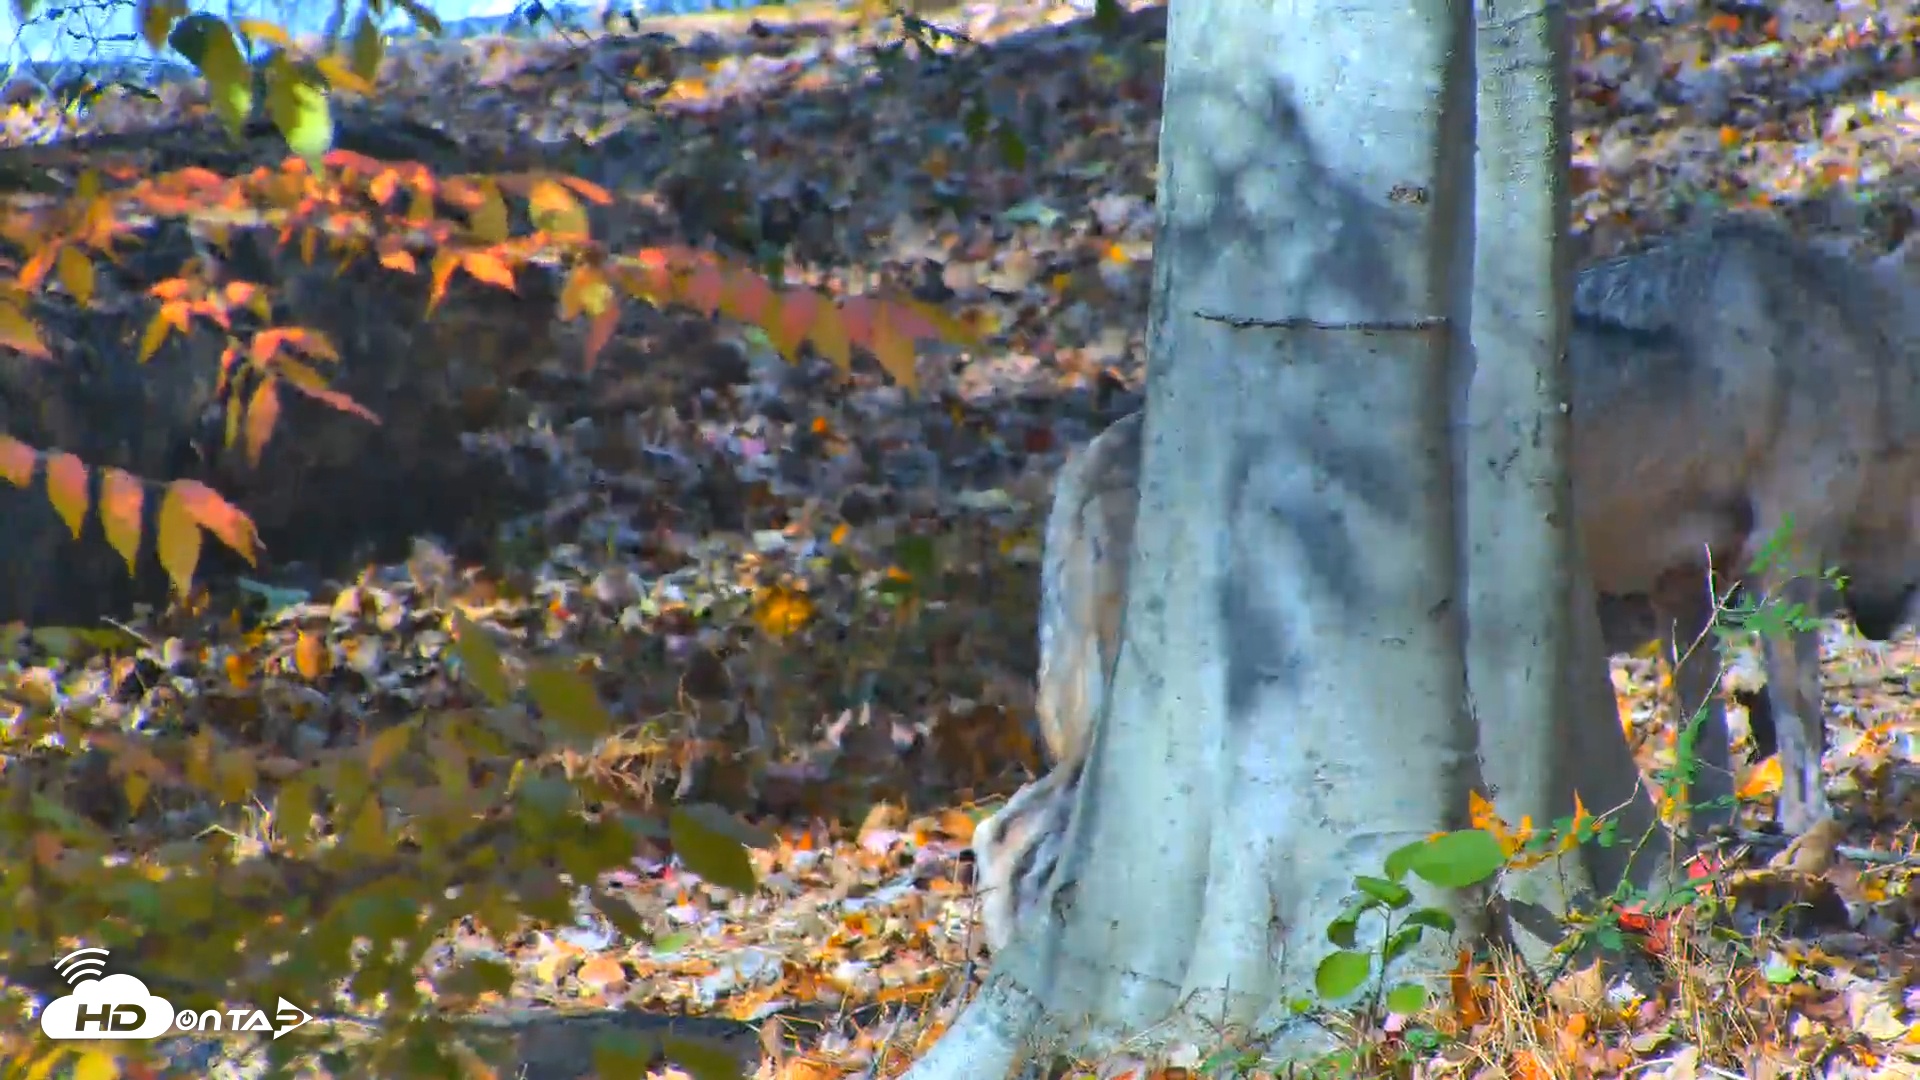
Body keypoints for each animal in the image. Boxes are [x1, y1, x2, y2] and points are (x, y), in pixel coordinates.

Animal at [971, 216, 1920, 955]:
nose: (1887, 624)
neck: (1867, 343)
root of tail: (1091, 455)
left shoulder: (1682, 578)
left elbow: (1708, 746)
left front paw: (1716, 849)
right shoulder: (1784, 559)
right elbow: (1800, 726)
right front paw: (1809, 841)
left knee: (1002, 829)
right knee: (1011, 831)